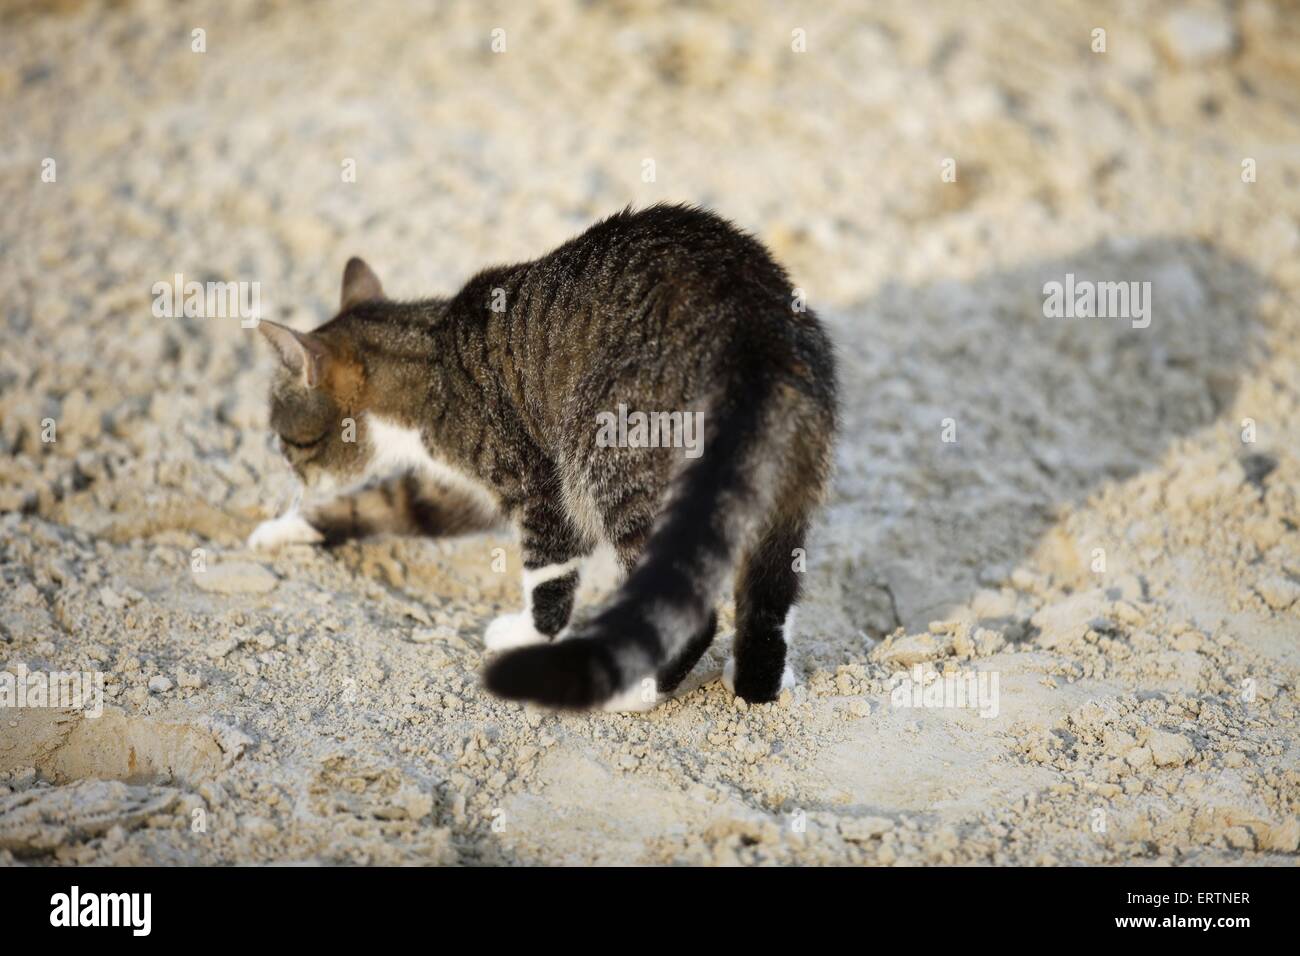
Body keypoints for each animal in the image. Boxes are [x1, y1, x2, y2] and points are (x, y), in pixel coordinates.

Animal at [248, 201, 837, 712]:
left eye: (283, 438)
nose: (285, 472)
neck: (428, 362)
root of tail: (754, 332)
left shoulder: (533, 480)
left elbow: (548, 573)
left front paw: (528, 634)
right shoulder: (457, 490)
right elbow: (386, 504)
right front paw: (284, 529)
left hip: (612, 464)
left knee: (693, 616)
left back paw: (635, 693)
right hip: (788, 488)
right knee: (769, 598)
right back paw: (760, 680)